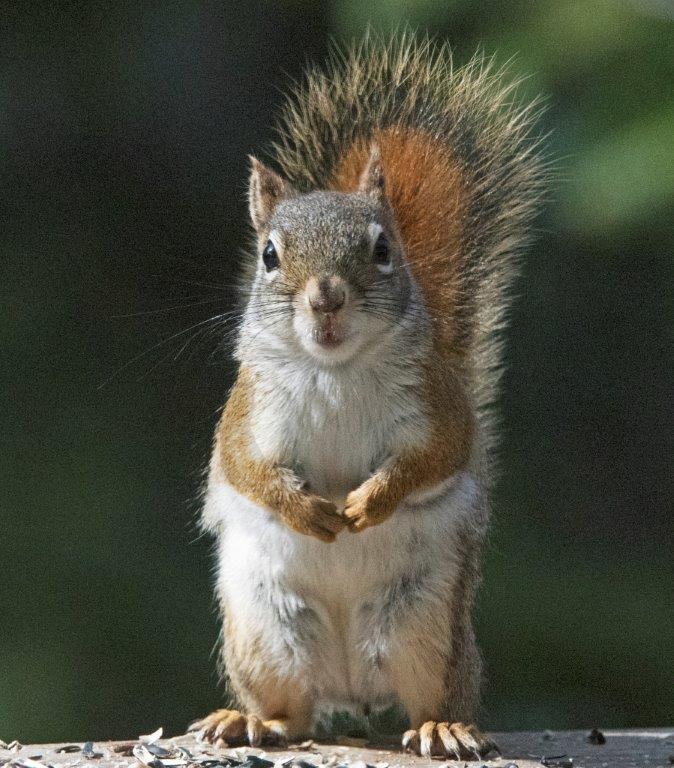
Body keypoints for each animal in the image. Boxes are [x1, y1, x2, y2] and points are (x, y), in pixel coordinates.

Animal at [190, 34, 544, 760]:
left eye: (382, 249)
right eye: (269, 255)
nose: (326, 297)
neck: (336, 370)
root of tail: (351, 685)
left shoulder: (437, 402)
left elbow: (439, 454)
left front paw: (368, 502)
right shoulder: (247, 410)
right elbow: (243, 465)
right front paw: (305, 509)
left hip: (429, 626)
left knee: (431, 693)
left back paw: (443, 727)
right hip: (265, 630)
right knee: (293, 710)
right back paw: (253, 720)